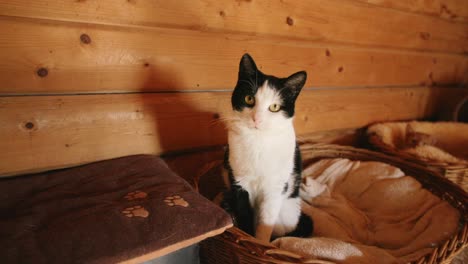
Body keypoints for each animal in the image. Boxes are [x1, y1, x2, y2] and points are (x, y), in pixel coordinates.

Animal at [221, 54, 312, 243]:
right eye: (249, 99)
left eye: (274, 107)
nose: (257, 119)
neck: (258, 141)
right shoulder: (238, 182)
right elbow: (244, 214)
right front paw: (247, 236)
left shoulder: (275, 188)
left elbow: (265, 223)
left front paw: (261, 242)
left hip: (288, 212)